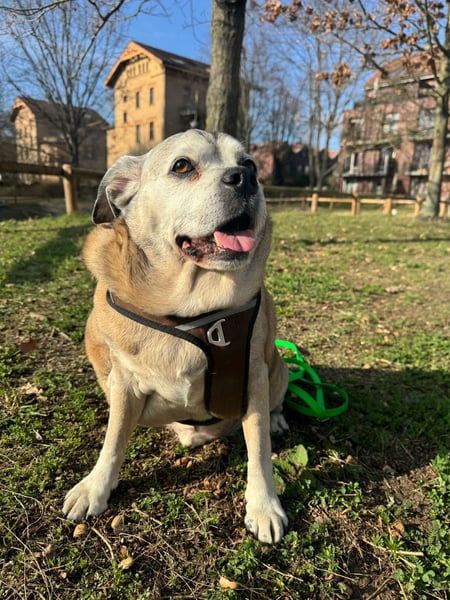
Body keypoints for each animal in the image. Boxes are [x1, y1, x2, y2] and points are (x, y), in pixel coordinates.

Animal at [63, 129, 289, 543]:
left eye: (249, 163)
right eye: (182, 166)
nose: (245, 178)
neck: (190, 308)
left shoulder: (253, 377)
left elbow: (259, 449)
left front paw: (264, 504)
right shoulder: (123, 382)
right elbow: (113, 439)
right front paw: (95, 488)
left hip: (277, 367)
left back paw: (278, 419)